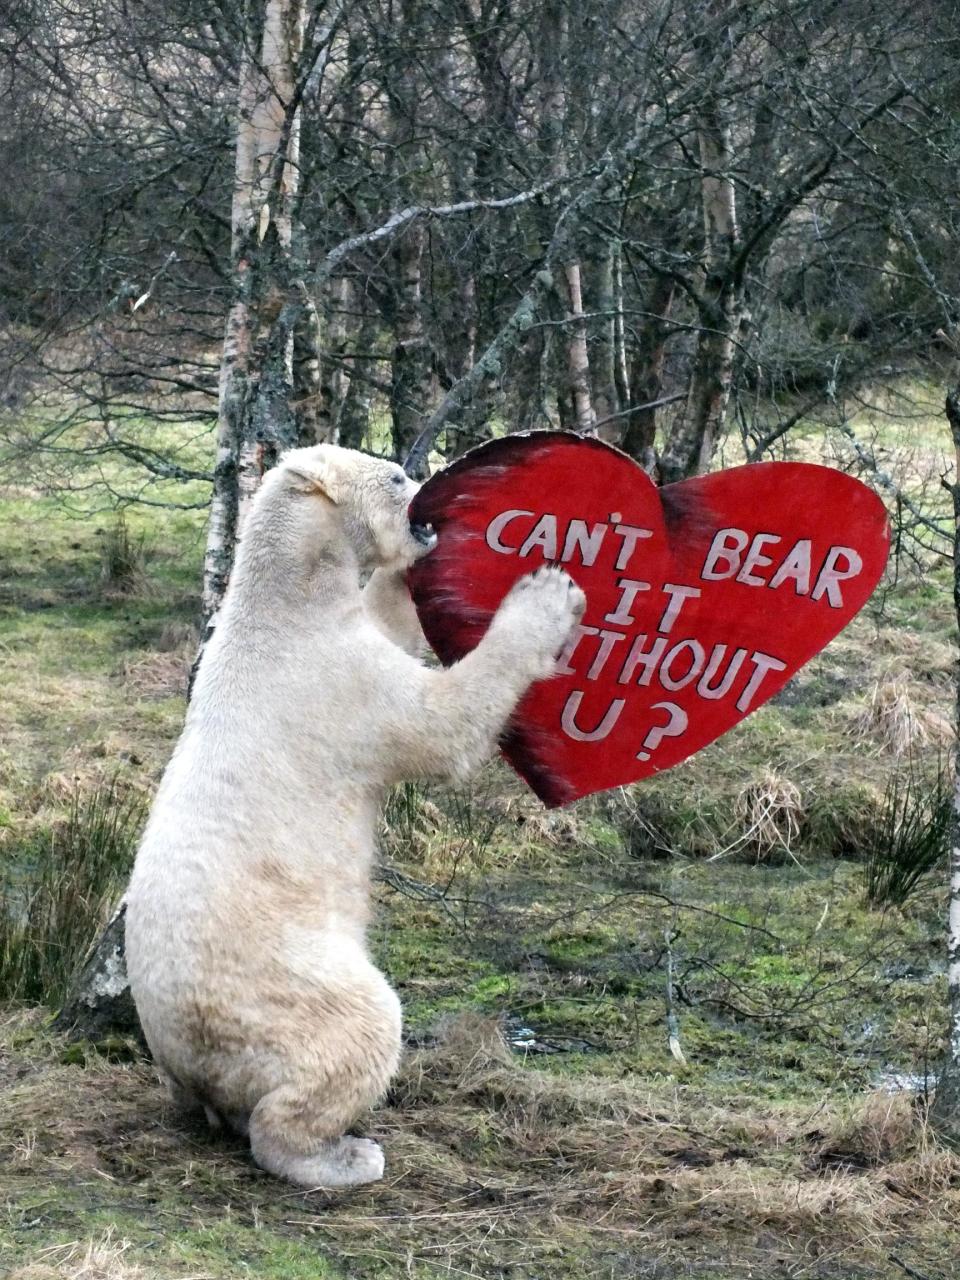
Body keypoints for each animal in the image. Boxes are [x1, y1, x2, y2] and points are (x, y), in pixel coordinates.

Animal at [124, 440, 591, 1187]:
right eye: (395, 474)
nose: (430, 491)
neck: (283, 604)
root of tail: (191, 1064)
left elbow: (388, 624)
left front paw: (404, 577)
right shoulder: (334, 682)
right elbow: (439, 725)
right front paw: (545, 593)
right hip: (289, 985)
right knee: (355, 1032)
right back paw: (341, 1154)